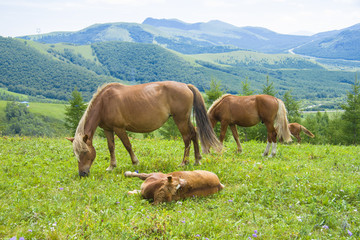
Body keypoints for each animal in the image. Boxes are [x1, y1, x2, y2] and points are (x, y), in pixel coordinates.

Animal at [66, 81, 221, 177]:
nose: (82, 174)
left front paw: (135, 162)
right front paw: (111, 166)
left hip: (180, 119)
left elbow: (127, 145)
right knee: (194, 134)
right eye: (75, 154)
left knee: (187, 137)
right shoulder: (108, 129)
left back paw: (184, 162)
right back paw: (197, 160)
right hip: (185, 119)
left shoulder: (119, 128)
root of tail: (186, 86)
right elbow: (111, 147)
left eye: (85, 152)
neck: (104, 103)